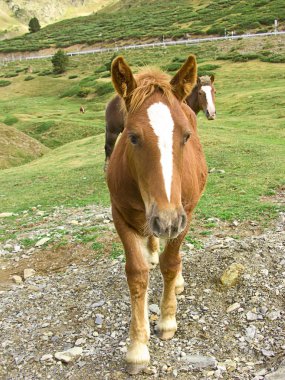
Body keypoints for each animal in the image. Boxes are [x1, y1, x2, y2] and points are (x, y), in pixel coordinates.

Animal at [106, 55, 206, 376]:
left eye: (186, 135)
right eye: (132, 136)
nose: (167, 220)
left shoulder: (185, 212)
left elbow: (171, 262)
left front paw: (166, 320)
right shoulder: (120, 214)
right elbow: (137, 274)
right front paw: (137, 348)